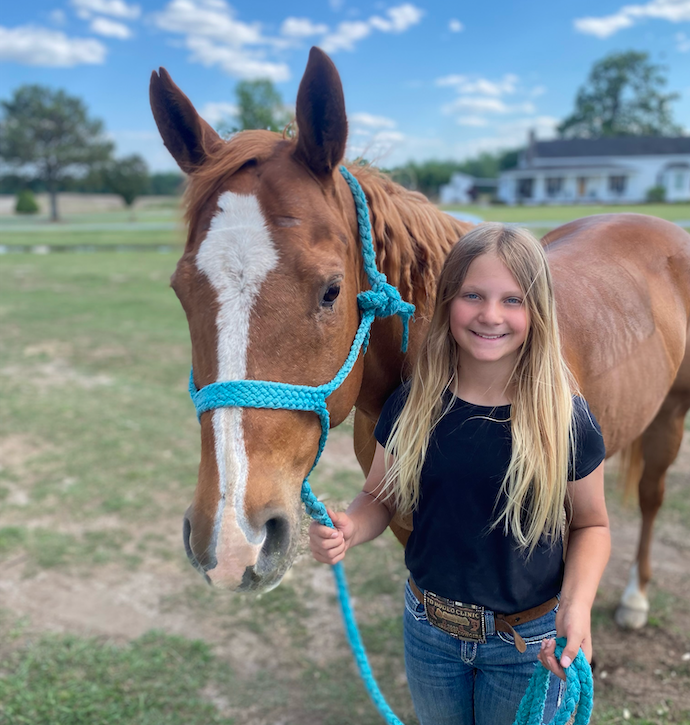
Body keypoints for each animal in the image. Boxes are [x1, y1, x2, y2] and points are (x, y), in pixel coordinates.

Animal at [149, 46, 690, 630]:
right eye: (180, 292)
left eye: (331, 291)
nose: (231, 544)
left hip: (669, 418)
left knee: (652, 496)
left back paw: (635, 597)